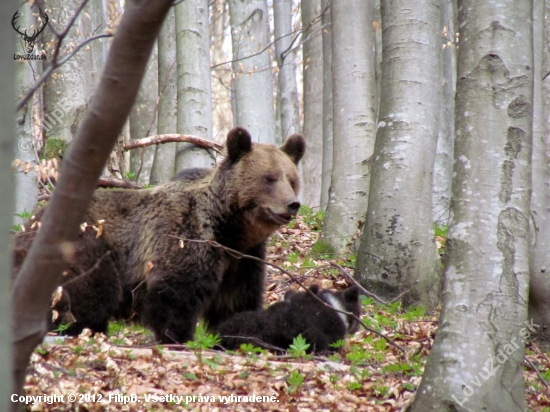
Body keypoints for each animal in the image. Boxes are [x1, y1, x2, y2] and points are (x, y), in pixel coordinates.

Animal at [12, 127, 306, 342]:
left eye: (291, 179)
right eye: (269, 178)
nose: (292, 204)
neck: (229, 231)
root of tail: (31, 222)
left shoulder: (243, 260)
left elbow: (235, 303)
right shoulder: (183, 238)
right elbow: (175, 295)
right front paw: (177, 337)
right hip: (87, 244)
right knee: (90, 293)